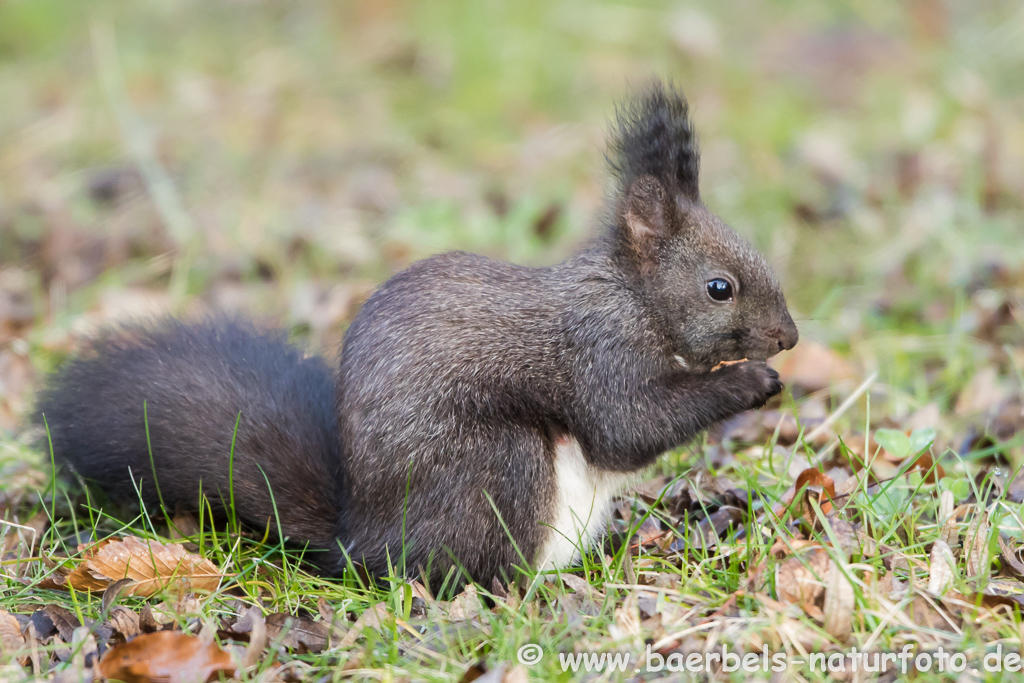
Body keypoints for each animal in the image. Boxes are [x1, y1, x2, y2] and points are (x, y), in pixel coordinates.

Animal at [34, 82, 798, 589]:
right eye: (720, 287)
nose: (787, 338)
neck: (633, 299)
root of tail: (361, 544)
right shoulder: (598, 354)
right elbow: (628, 426)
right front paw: (750, 381)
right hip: (498, 465)